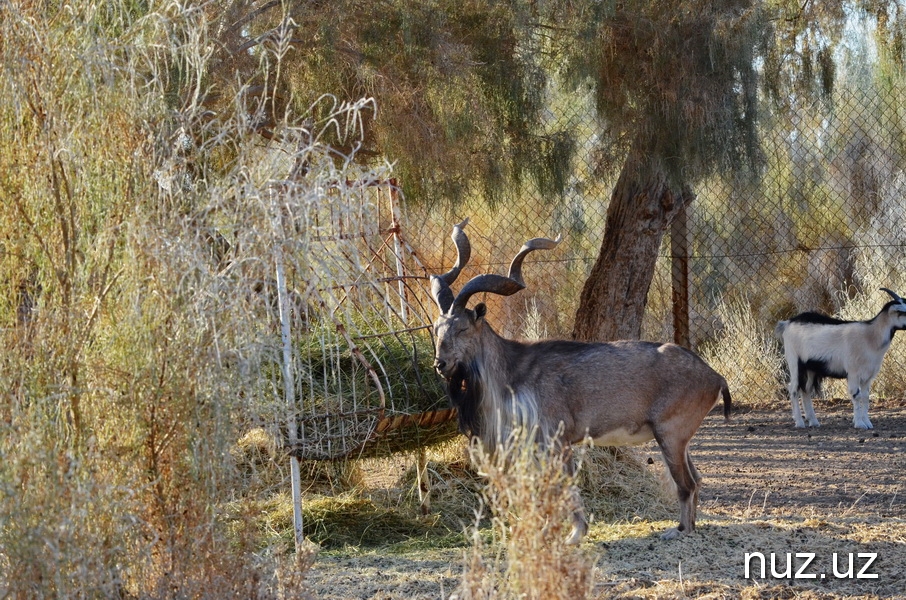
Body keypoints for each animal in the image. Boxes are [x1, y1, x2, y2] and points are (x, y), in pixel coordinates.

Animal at [428, 220, 732, 544]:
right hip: (680, 440)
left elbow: (566, 486)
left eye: (462, 328)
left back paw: (680, 530)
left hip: (670, 435)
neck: (513, 372)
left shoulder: (557, 441)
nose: (440, 364)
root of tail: (715, 377)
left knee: (686, 483)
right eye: (437, 328)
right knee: (696, 478)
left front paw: (573, 535)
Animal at [772, 288, 904, 428]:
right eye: (903, 312)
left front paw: (867, 423)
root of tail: (787, 324)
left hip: (810, 368)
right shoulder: (853, 372)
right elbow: (856, 396)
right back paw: (800, 422)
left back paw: (813, 421)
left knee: (806, 390)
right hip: (794, 361)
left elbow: (865, 397)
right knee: (793, 389)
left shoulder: (868, 375)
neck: (870, 336)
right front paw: (860, 424)